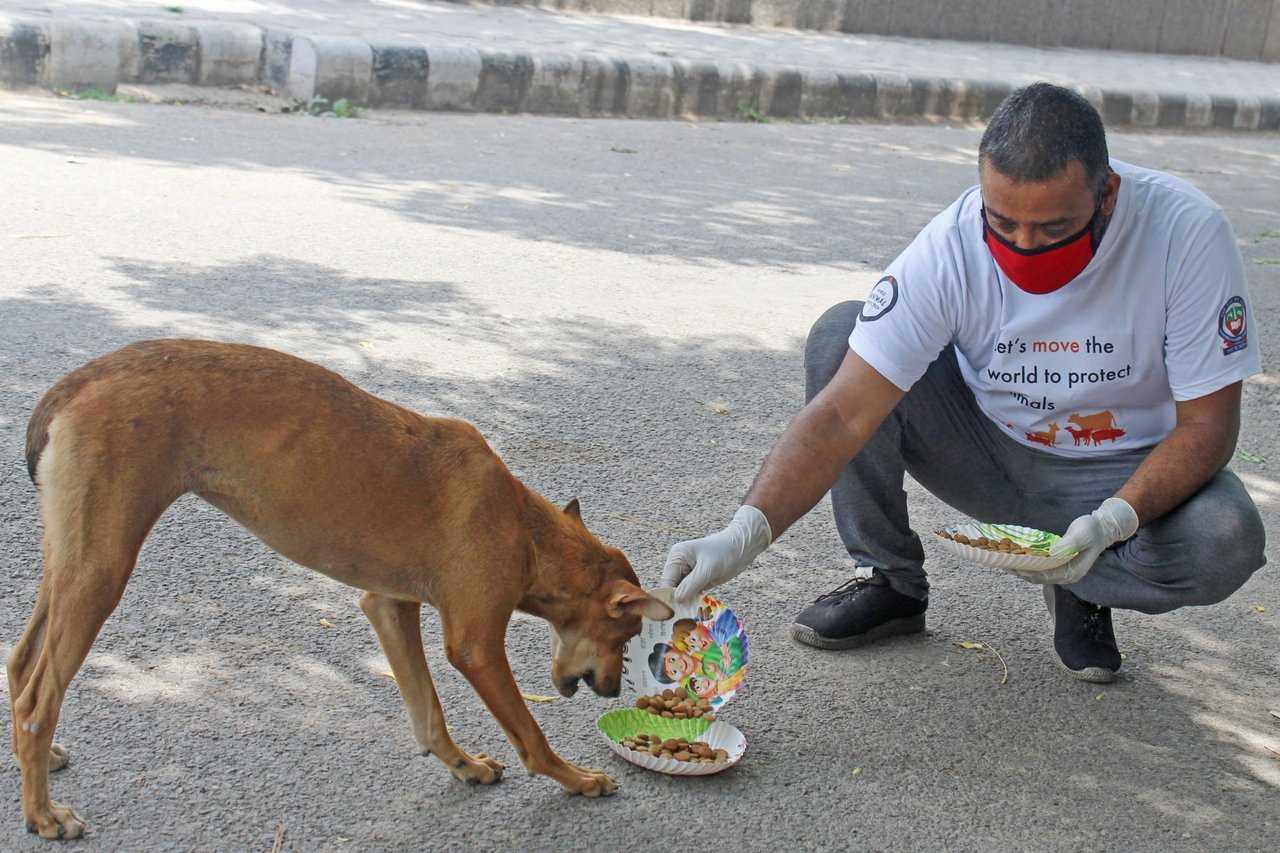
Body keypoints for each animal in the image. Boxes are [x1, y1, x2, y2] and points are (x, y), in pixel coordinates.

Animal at [10, 335, 675, 835]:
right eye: (626, 636)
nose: (613, 691)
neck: (526, 529)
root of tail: (77, 382)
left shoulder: (388, 607)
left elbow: (428, 715)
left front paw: (462, 765)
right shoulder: (476, 645)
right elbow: (531, 737)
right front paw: (577, 779)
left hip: (69, 562)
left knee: (20, 666)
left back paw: (40, 763)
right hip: (102, 572)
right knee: (38, 700)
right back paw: (43, 814)